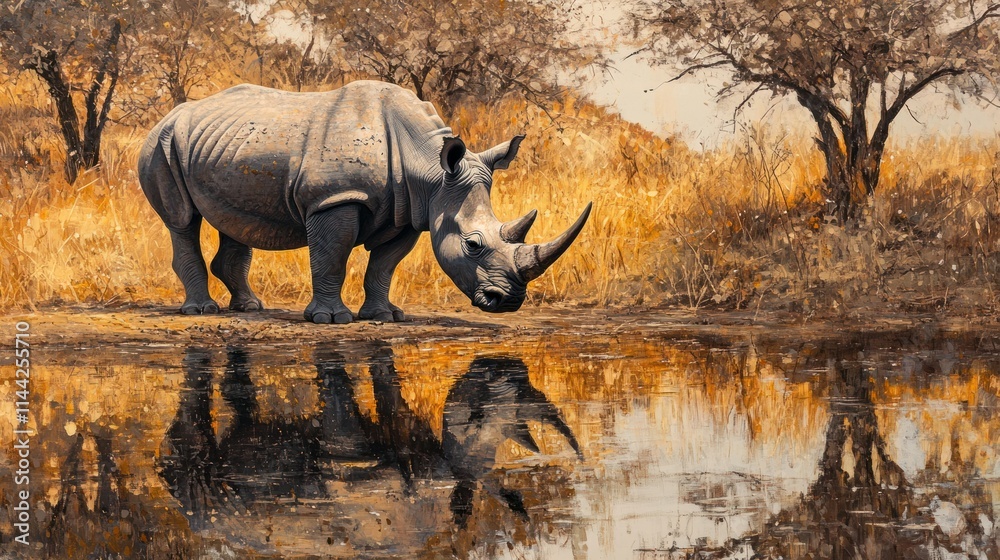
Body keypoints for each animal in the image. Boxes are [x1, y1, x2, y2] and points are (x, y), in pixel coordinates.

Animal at [138, 81, 591, 323]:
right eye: (473, 245)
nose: (509, 302)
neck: (428, 168)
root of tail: (167, 116)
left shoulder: (412, 210)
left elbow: (385, 265)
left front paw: (385, 316)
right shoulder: (334, 199)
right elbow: (332, 257)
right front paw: (329, 319)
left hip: (227, 147)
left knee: (234, 220)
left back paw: (249, 308)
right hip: (161, 144)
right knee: (182, 221)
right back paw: (201, 311)